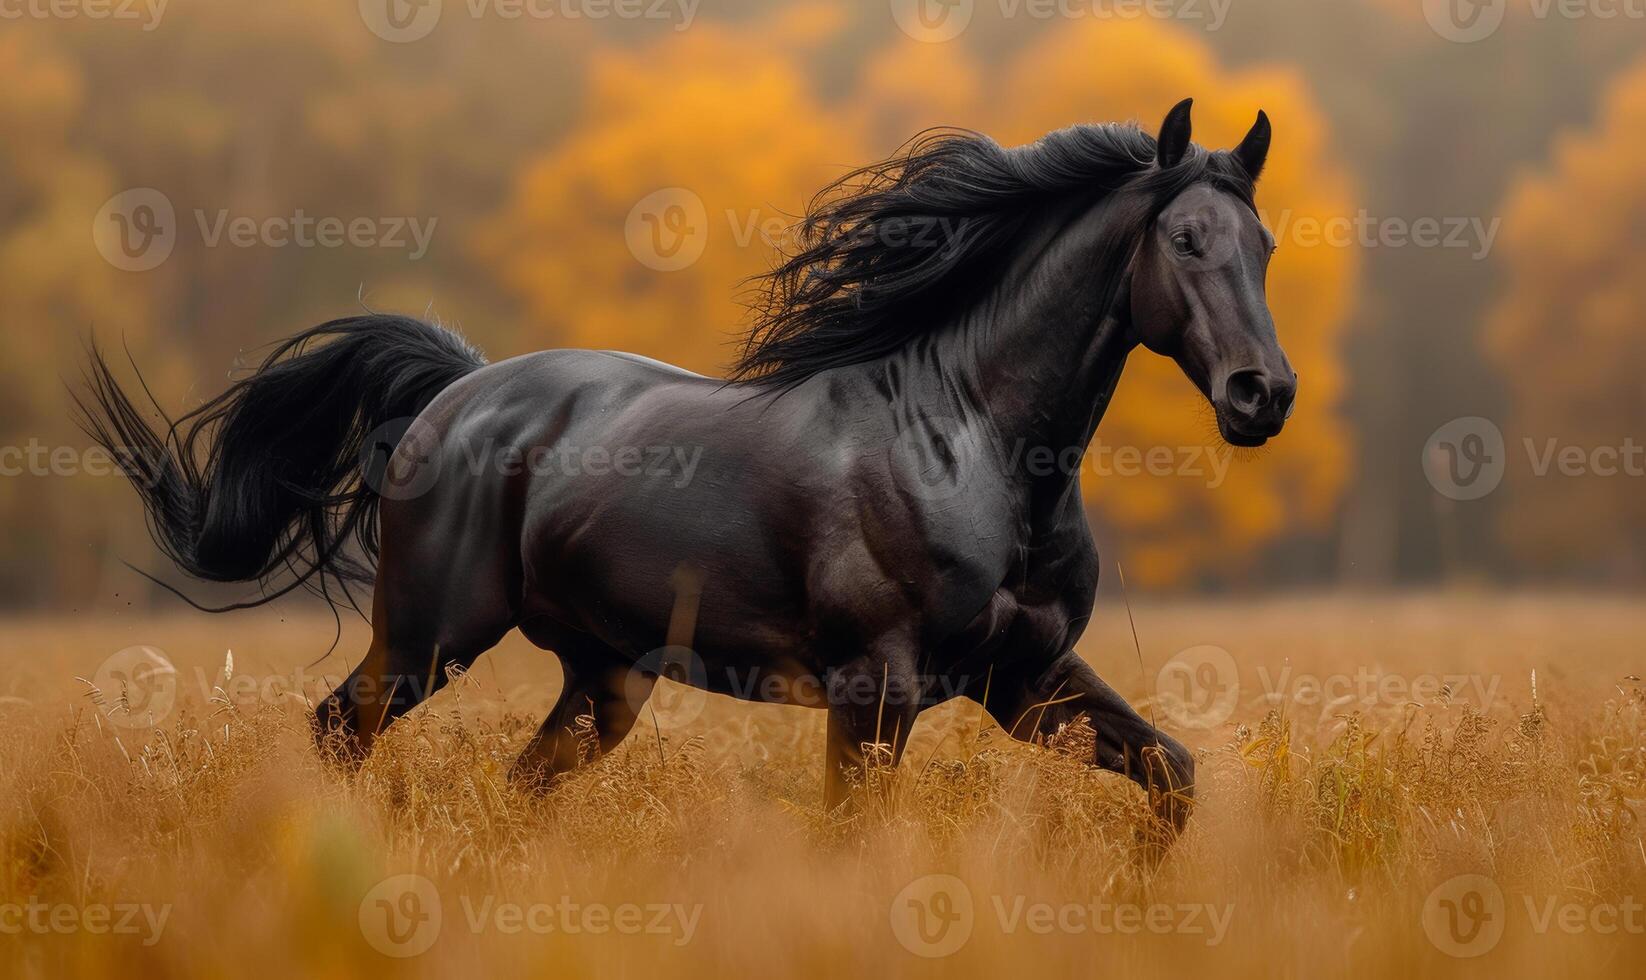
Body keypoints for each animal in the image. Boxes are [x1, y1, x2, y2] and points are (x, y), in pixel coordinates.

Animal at [83, 101, 1290, 836]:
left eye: (1265, 245)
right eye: (1185, 239)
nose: (1260, 394)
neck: (978, 446)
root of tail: (457, 392)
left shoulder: (1023, 680)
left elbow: (1175, 778)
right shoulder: (875, 687)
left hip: (603, 676)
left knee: (513, 788)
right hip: (429, 638)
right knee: (338, 732)